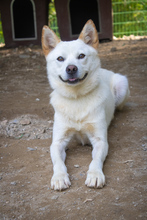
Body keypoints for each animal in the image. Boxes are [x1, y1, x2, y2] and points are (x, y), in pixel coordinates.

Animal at [41, 19, 130, 190]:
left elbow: (95, 161)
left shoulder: (100, 141)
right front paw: (59, 177)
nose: (71, 68)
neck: (77, 98)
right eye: (60, 59)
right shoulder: (57, 142)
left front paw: (95, 175)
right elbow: (58, 163)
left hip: (122, 83)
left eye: (81, 56)